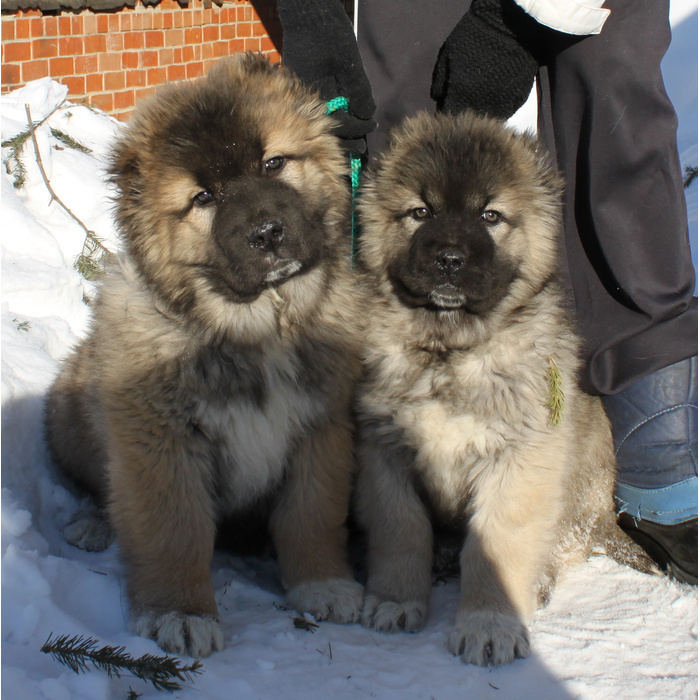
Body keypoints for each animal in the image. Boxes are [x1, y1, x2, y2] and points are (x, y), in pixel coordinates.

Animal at [45, 53, 366, 656]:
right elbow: (174, 531)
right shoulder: (161, 444)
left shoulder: (321, 430)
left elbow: (311, 515)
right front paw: (181, 612)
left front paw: (322, 584)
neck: (257, 328)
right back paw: (94, 523)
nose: (267, 233)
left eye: (273, 164)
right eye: (203, 199)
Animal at [356, 109, 656, 668]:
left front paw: (489, 624)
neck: (452, 352)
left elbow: (497, 543)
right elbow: (402, 532)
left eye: (491, 216)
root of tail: (607, 514)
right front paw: (396, 600)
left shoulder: (518, 462)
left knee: (563, 544)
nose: (450, 259)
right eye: (420, 212)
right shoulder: (383, 454)